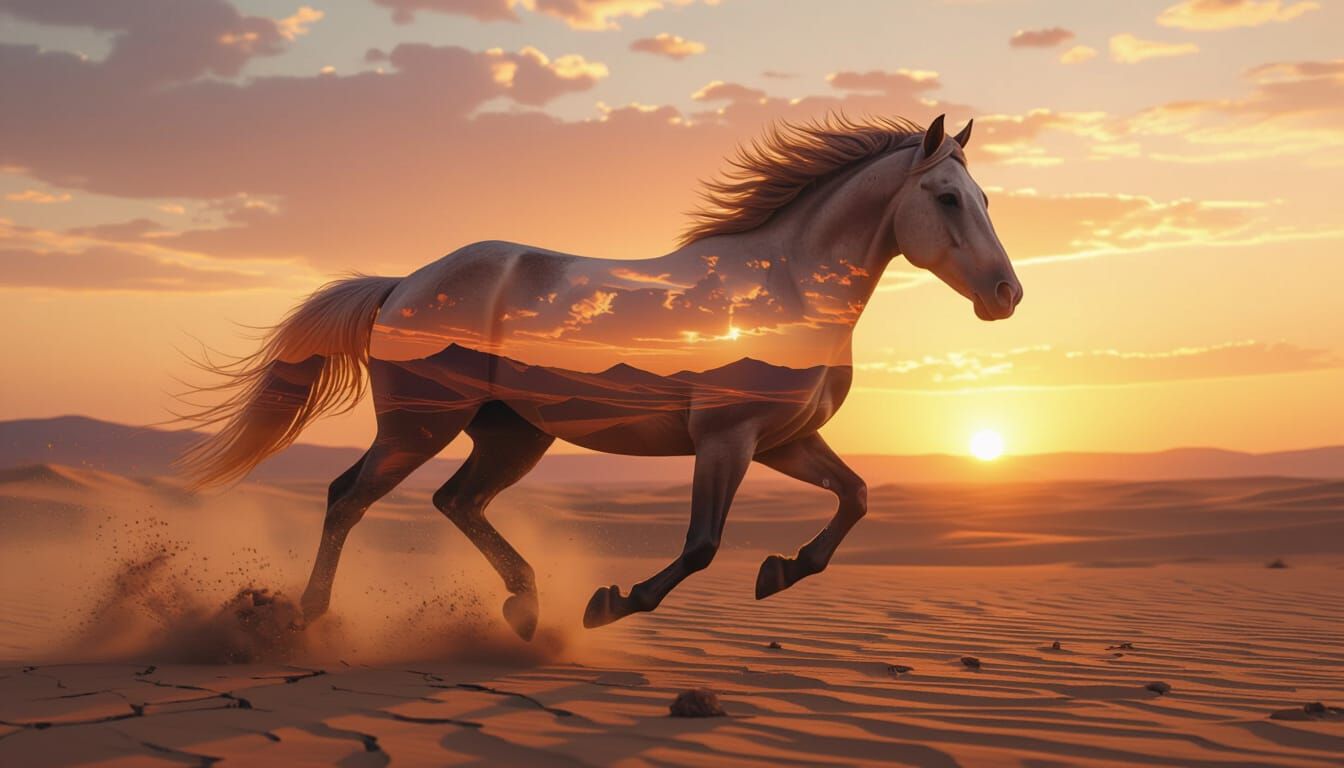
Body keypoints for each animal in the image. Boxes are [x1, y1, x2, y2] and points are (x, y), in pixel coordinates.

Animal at [179, 113, 1022, 640]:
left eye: (985, 198)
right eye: (947, 198)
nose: (1006, 295)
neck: (785, 287)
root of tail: (404, 283)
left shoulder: (784, 441)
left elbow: (857, 498)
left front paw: (778, 571)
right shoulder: (725, 439)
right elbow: (702, 544)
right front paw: (612, 603)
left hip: (511, 435)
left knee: (456, 500)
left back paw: (523, 606)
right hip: (421, 424)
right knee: (348, 496)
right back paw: (309, 616)